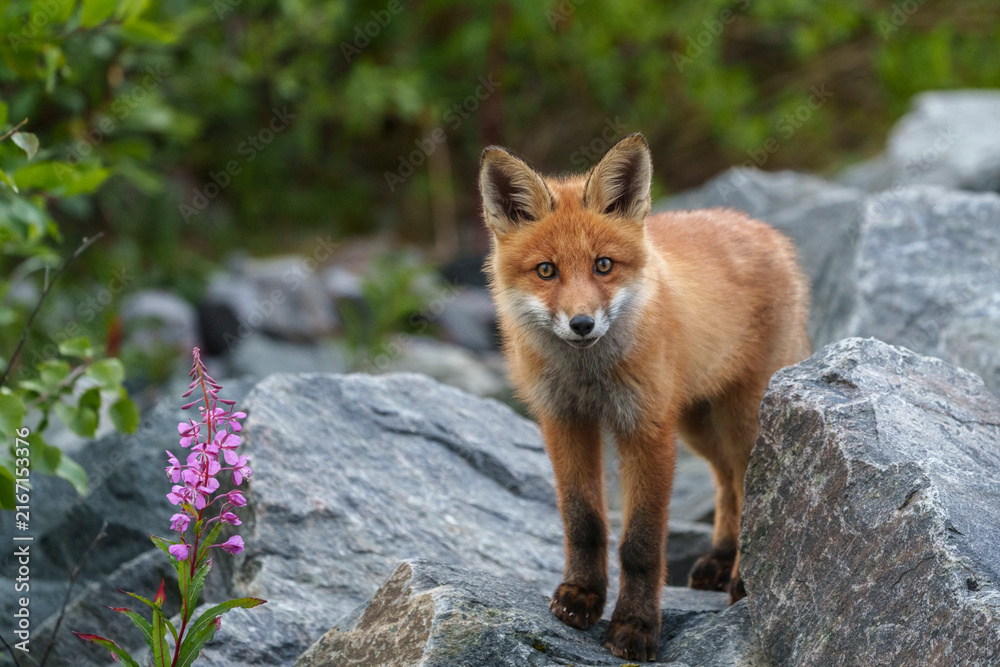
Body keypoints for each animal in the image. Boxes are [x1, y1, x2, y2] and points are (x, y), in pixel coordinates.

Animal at [479, 133, 811, 661]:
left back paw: (742, 580)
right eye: (546, 270)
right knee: (727, 484)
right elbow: (584, 522)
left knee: (750, 488)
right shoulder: (564, 420)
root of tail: (765, 230)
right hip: (698, 424)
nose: (582, 324)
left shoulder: (646, 428)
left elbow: (640, 544)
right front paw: (582, 596)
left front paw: (634, 626)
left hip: (743, 421)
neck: (590, 377)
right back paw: (720, 559)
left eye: (604, 265)